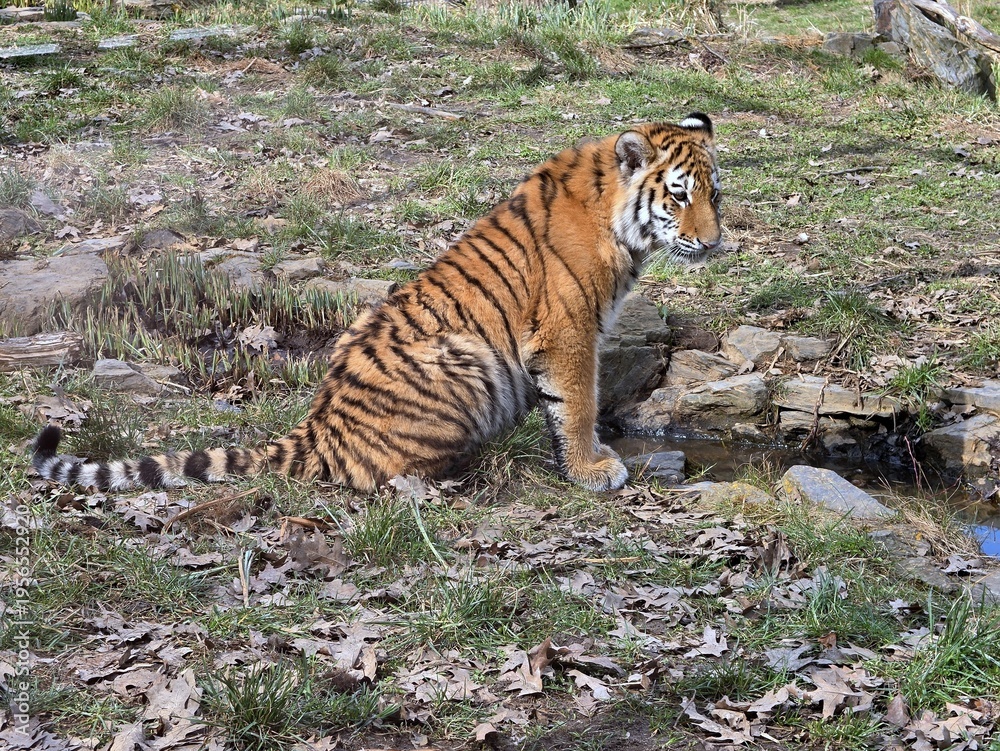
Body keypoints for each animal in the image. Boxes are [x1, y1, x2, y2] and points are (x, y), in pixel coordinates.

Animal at [33, 113, 723, 493]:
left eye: (715, 192)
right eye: (679, 194)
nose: (716, 243)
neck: (622, 225)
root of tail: (314, 429)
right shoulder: (567, 330)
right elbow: (577, 403)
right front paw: (591, 469)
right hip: (465, 358)